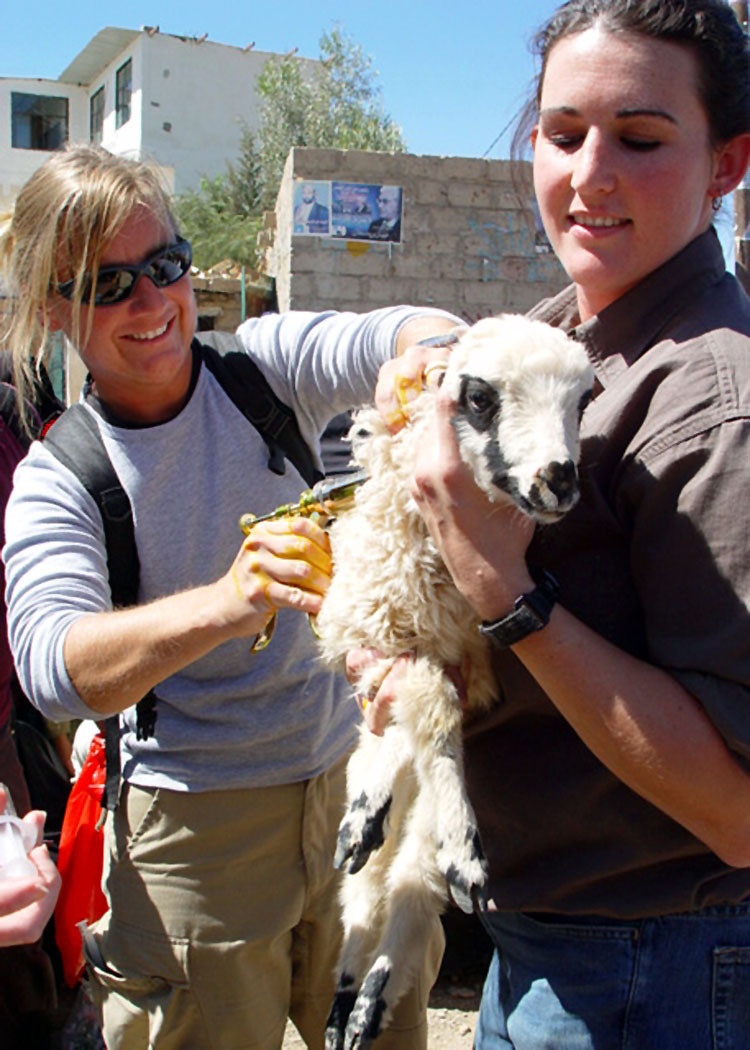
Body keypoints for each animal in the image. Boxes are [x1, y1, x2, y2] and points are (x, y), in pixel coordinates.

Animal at [313, 312, 592, 1050]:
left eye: (583, 400)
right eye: (479, 397)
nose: (560, 481)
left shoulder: (468, 663)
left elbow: (431, 718)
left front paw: (464, 853)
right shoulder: (376, 636)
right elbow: (425, 714)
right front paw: (450, 841)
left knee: (410, 890)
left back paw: (368, 1000)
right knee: (364, 891)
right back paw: (345, 990)